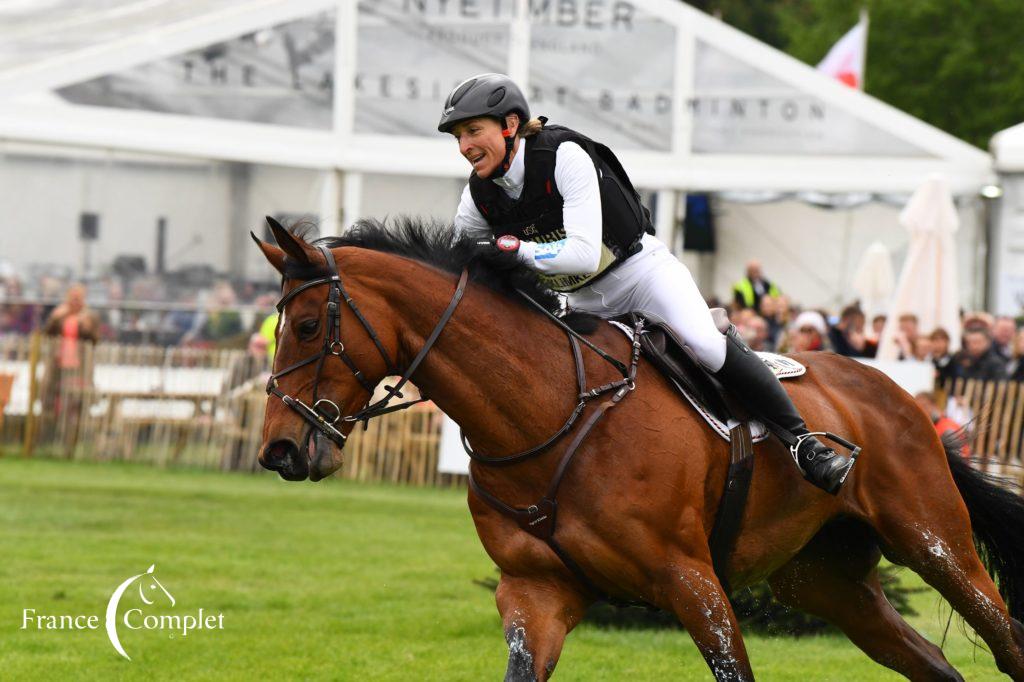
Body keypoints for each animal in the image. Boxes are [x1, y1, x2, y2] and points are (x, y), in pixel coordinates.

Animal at [253, 218, 1024, 679]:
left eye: (309, 325)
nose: (280, 451)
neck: (544, 414)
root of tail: (897, 393)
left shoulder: (693, 582)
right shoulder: (536, 595)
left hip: (933, 543)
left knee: (1004, 633)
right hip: (826, 581)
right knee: (935, 664)